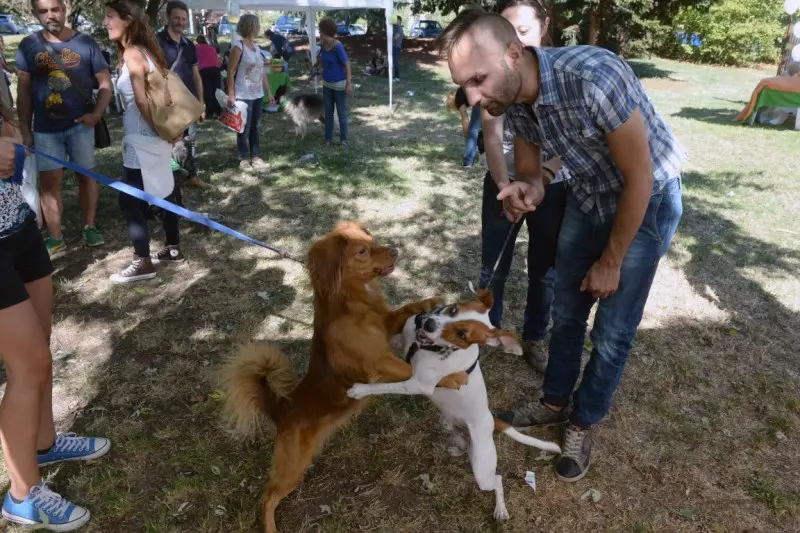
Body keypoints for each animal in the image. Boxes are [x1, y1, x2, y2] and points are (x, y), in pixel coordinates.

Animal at [220, 221, 468, 532]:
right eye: (362, 251)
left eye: (372, 239)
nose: (396, 250)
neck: (353, 303)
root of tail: (281, 409)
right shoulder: (379, 363)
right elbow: (414, 371)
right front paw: (453, 377)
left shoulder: (387, 325)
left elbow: (401, 311)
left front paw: (429, 300)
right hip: (293, 468)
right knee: (268, 497)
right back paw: (270, 526)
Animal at [346, 290, 560, 520]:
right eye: (454, 309)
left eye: (462, 335)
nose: (428, 322)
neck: (432, 348)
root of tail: (491, 418)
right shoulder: (401, 341)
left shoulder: (417, 384)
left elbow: (382, 386)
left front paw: (359, 390)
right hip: (454, 429)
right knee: (465, 446)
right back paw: (457, 450)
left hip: (482, 471)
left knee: (497, 479)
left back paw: (500, 509)